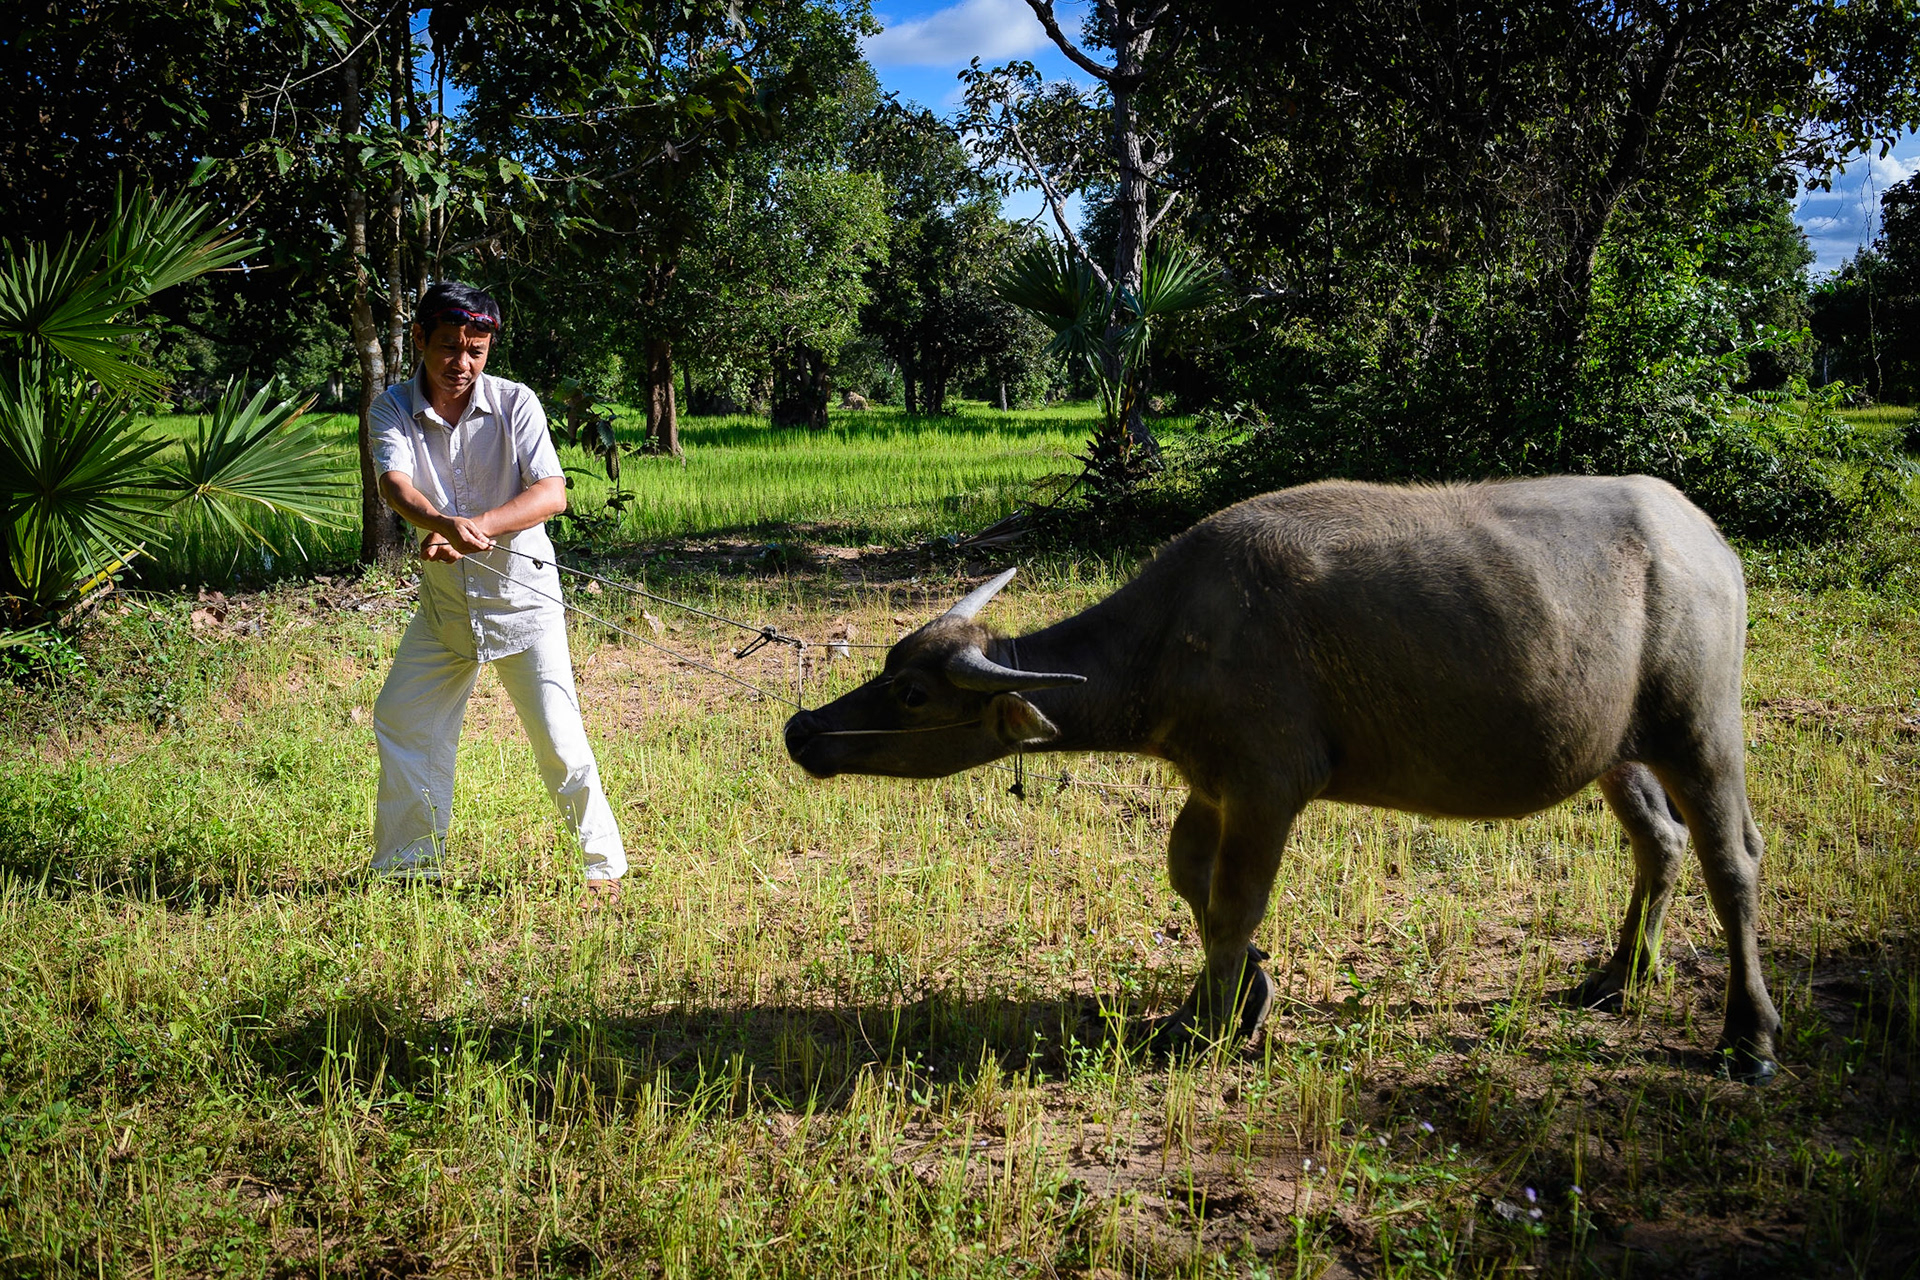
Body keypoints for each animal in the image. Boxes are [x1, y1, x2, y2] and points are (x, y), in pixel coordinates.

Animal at [784, 477, 1781, 1082]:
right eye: (889, 666)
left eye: (911, 693)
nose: (803, 730)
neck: (1172, 642)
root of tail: (1708, 540)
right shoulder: (1212, 781)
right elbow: (1188, 877)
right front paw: (1247, 990)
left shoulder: (1269, 784)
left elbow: (1233, 901)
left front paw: (1201, 1025)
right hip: (1619, 749)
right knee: (1661, 842)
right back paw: (1620, 975)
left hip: (1702, 729)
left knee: (1734, 859)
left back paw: (1749, 1036)